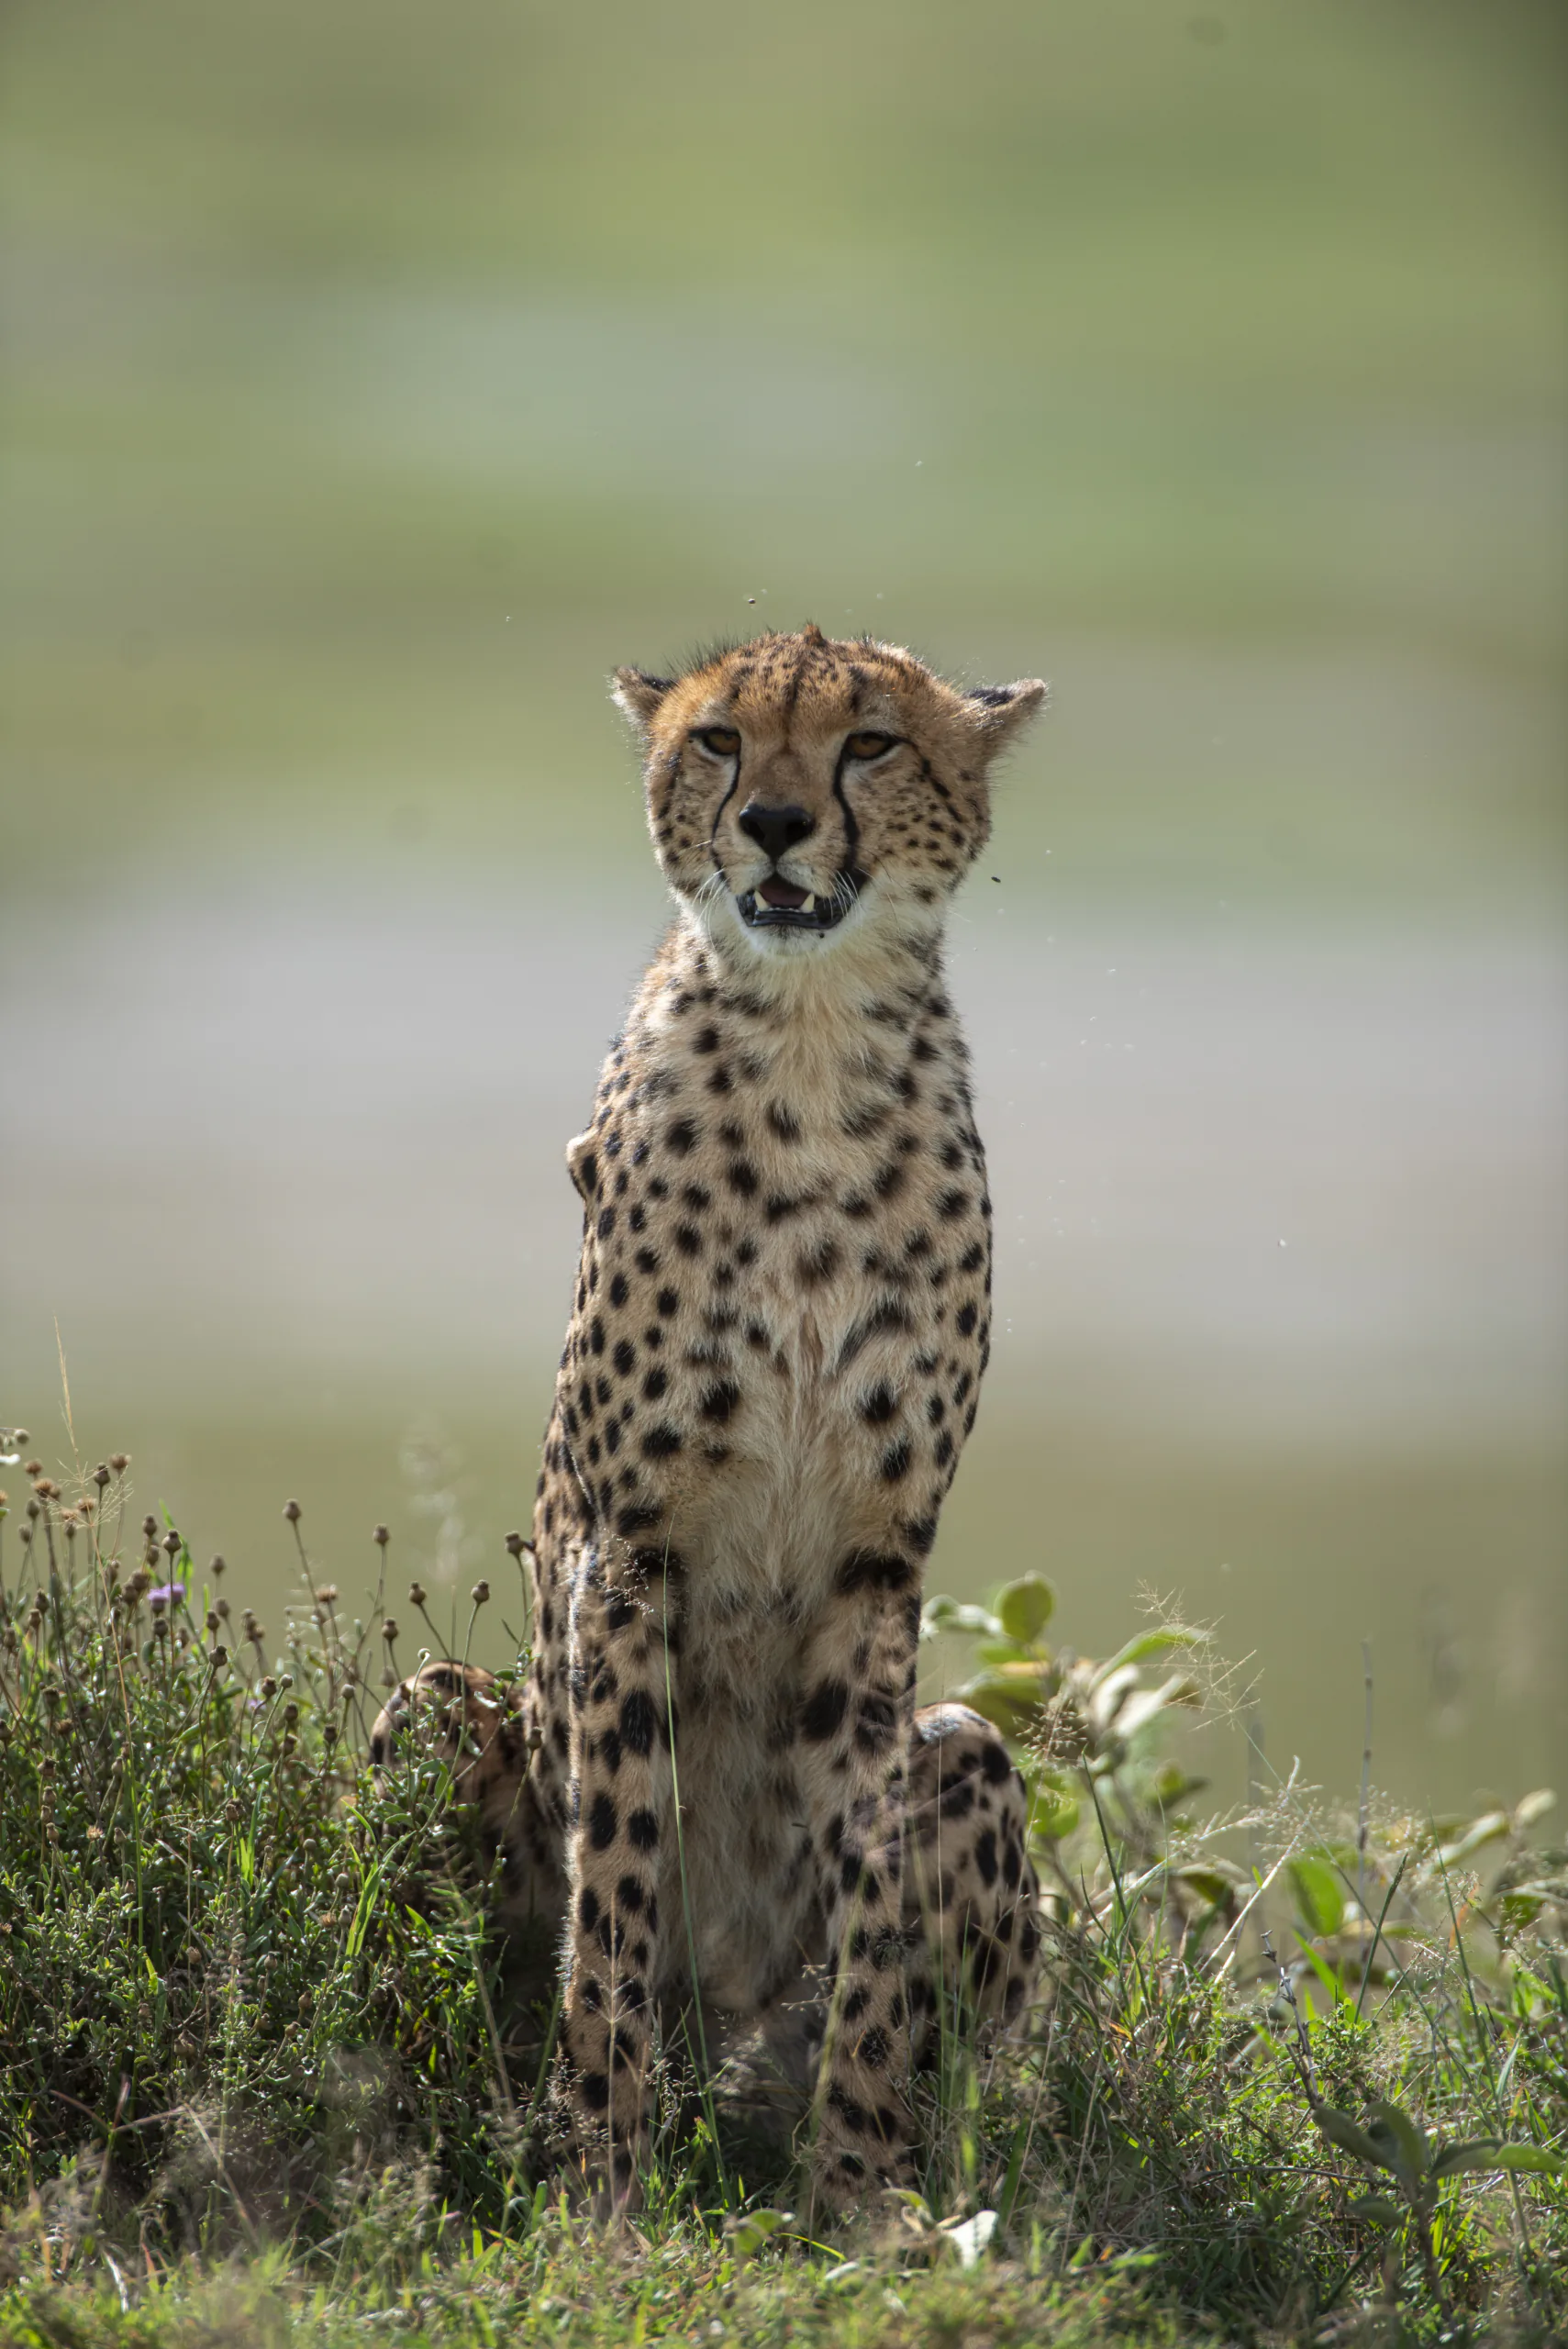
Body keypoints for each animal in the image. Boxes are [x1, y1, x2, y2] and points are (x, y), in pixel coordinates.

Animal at [372, 624, 1047, 2215]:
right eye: (721, 740)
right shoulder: (631, 1550)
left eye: (870, 743)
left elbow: (870, 1902)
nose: (779, 824)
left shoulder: (879, 1562)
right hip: (435, 1712)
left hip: (968, 1760)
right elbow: (614, 1881)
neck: (812, 1054)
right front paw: (603, 2185)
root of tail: (719, 2010)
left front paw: (857, 2186)